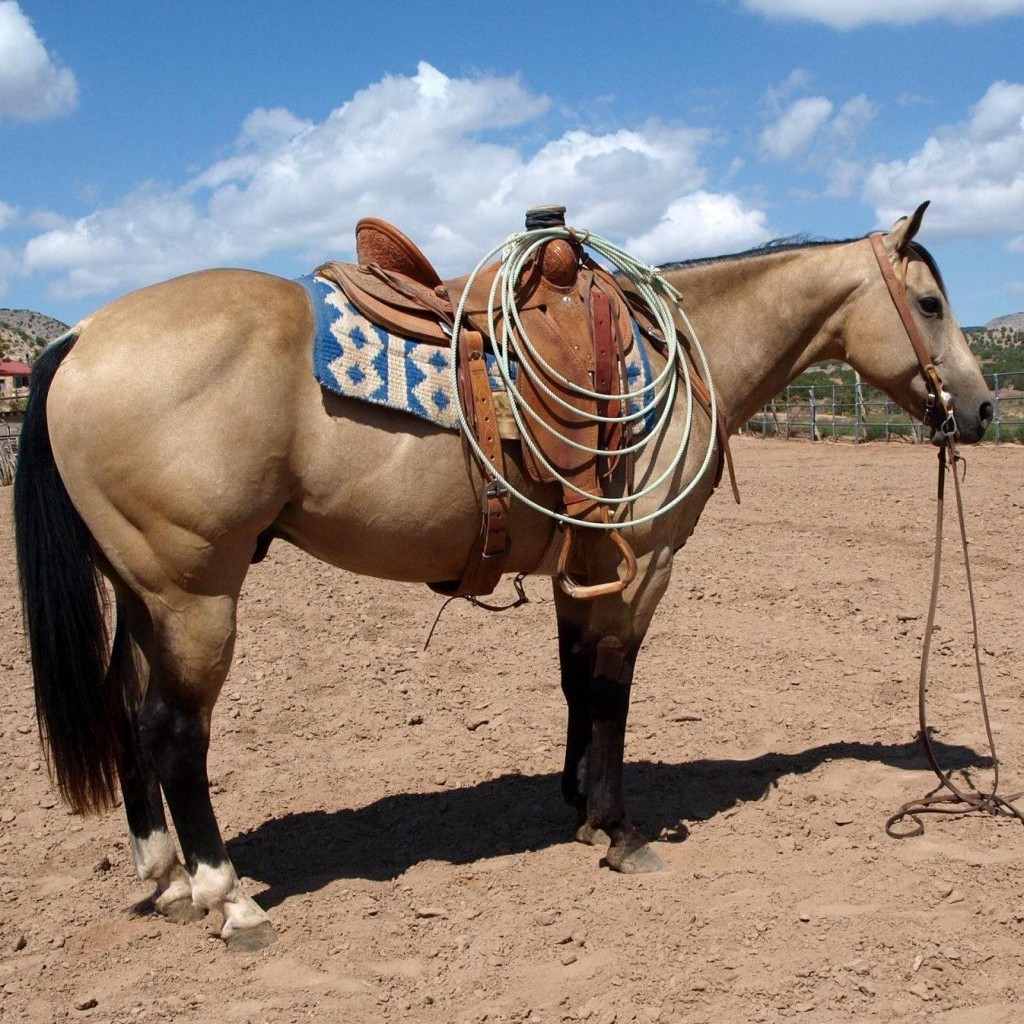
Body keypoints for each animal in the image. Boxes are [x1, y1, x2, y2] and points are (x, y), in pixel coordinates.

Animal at [14, 201, 991, 950]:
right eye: (930, 302)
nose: (981, 410)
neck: (686, 349)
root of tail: (83, 334)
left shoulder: (584, 566)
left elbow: (575, 682)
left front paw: (580, 806)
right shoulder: (644, 568)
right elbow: (612, 691)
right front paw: (620, 831)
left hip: (143, 596)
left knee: (127, 715)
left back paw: (166, 877)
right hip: (196, 597)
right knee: (175, 732)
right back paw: (229, 898)